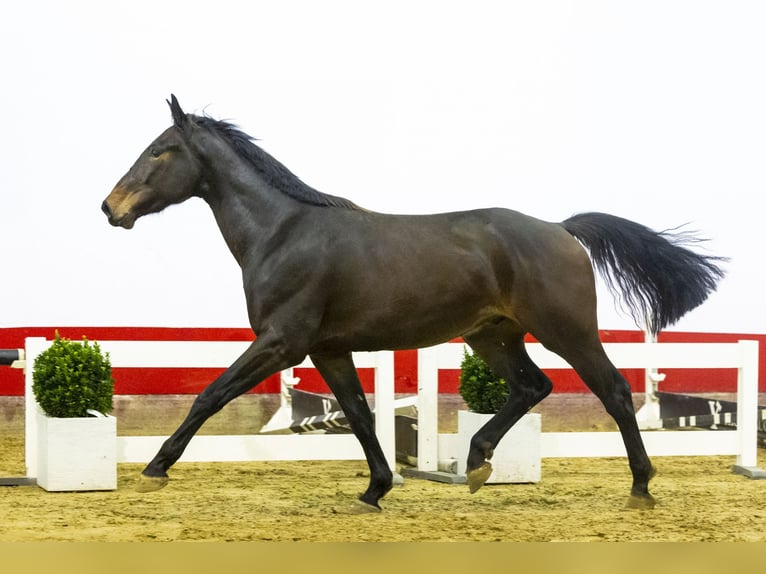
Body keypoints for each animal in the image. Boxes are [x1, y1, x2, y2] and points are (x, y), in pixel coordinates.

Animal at [102, 94, 728, 512]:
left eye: (160, 151)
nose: (111, 207)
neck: (282, 233)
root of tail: (560, 228)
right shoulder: (327, 349)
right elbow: (358, 414)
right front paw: (375, 489)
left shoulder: (281, 343)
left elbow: (210, 394)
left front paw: (155, 468)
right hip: (493, 334)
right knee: (532, 387)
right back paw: (475, 463)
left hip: (566, 331)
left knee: (615, 391)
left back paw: (641, 487)